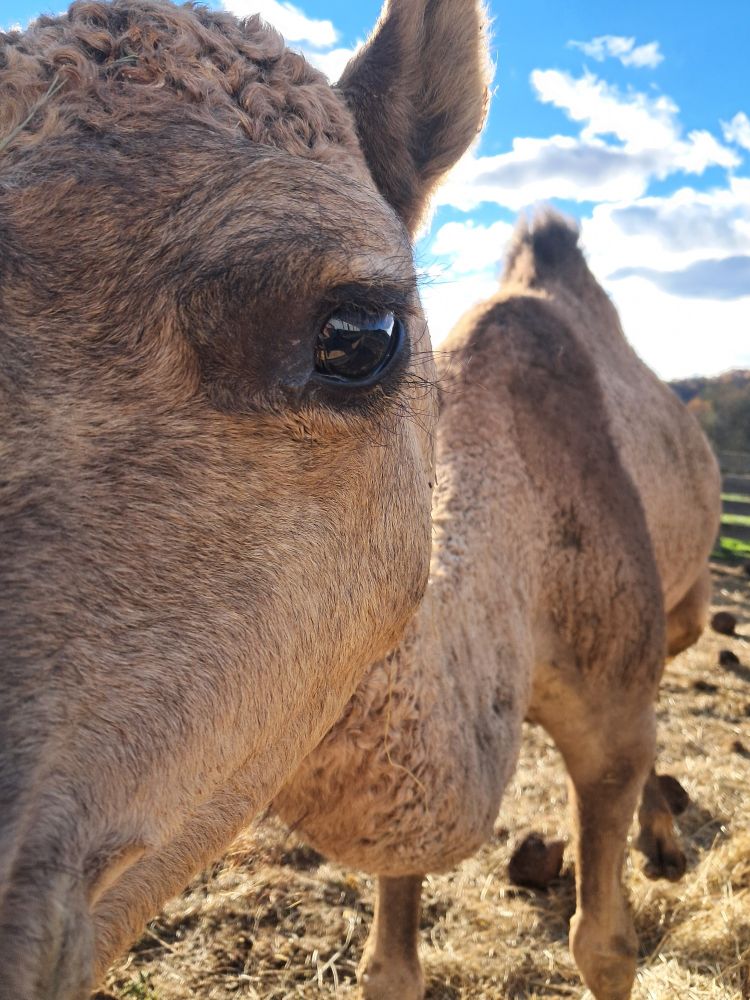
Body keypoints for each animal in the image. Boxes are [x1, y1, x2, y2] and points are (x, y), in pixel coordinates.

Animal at [274, 214, 722, 1000]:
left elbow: (605, 948)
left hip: (684, 602)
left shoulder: (613, 711)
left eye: (348, 336)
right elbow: (390, 966)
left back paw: (661, 842)